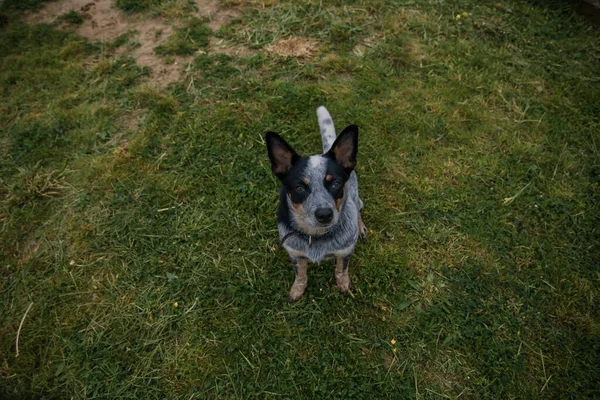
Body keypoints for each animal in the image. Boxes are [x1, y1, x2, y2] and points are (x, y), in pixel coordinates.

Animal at [266, 106, 368, 300]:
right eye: (299, 187)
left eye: (335, 183)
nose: (324, 214)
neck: (316, 235)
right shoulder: (295, 254)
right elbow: (300, 274)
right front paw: (297, 290)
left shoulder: (345, 251)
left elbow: (341, 270)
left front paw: (343, 284)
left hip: (356, 196)